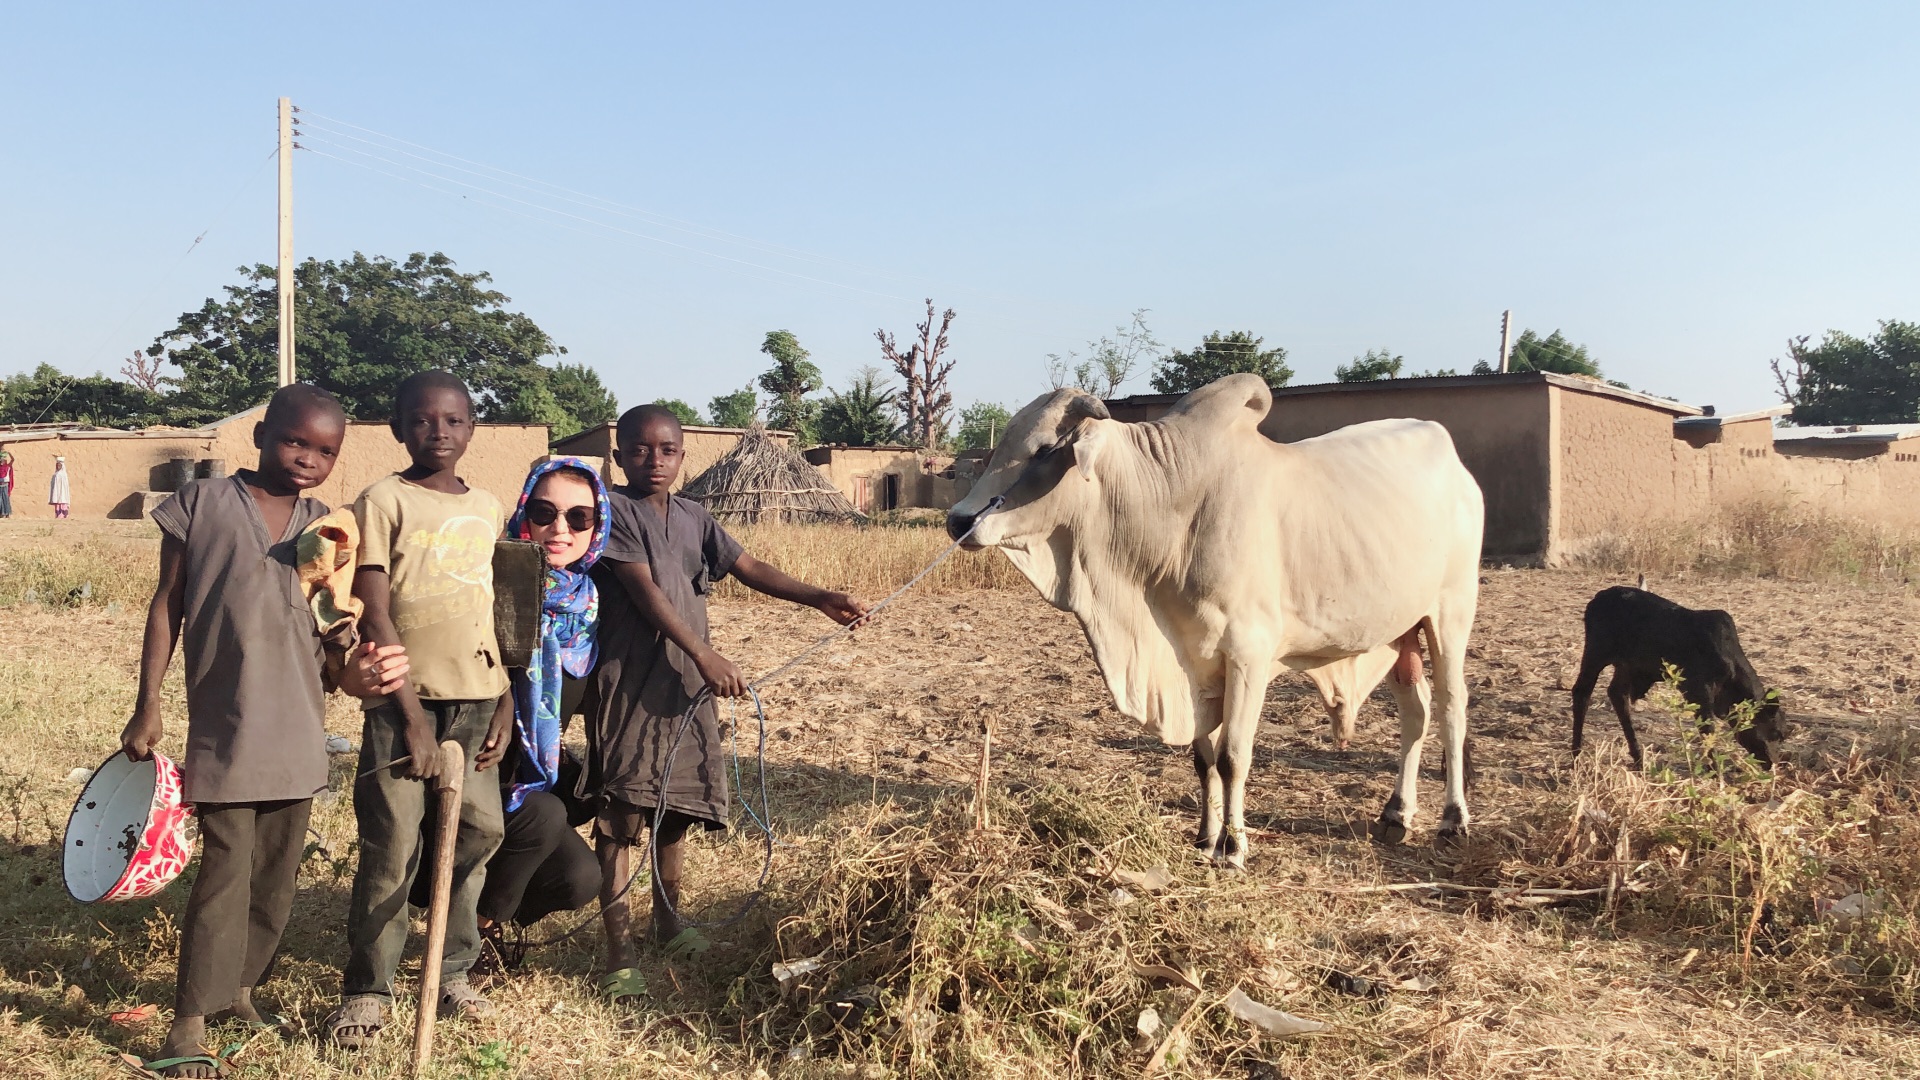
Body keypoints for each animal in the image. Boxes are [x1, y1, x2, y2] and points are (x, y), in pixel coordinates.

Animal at [944, 374, 1482, 860]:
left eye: (1040, 452)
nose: (959, 520)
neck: (1171, 504)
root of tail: (1459, 467)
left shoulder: (1248, 655)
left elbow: (1232, 757)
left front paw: (1234, 846)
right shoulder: (1194, 661)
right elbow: (1203, 760)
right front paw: (1206, 838)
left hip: (1451, 613)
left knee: (1452, 708)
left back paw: (1453, 820)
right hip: (1401, 631)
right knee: (1416, 712)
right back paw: (1396, 815)